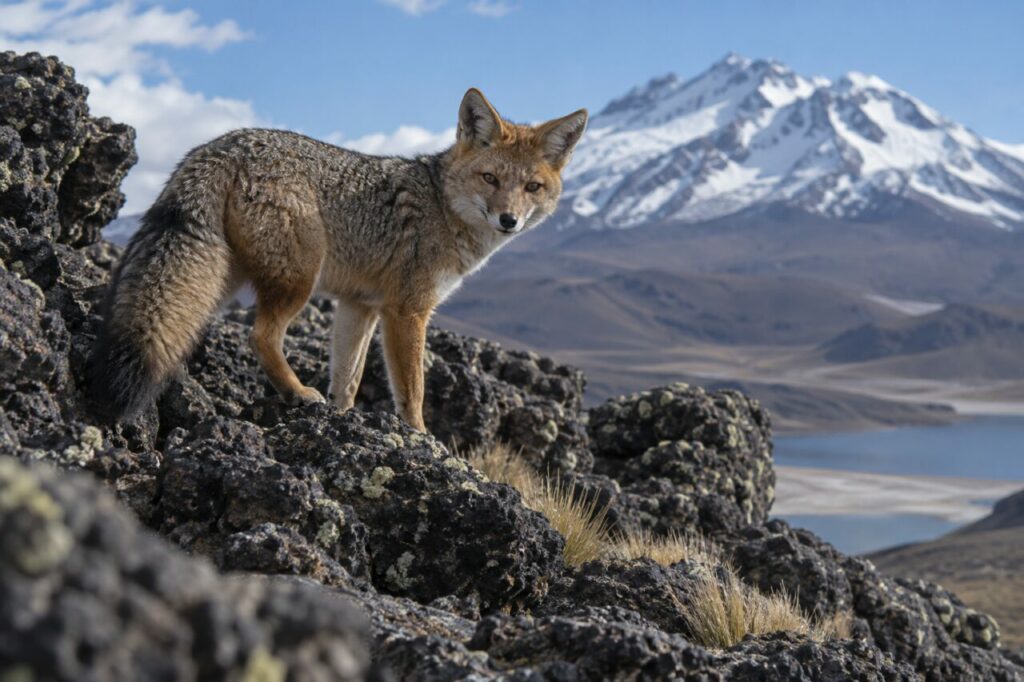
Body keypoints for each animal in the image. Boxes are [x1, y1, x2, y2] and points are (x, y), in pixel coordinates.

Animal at [89, 89, 588, 431]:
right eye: (490, 178)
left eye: (532, 188)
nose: (509, 220)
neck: (443, 207)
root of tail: (224, 143)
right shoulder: (407, 311)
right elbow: (412, 391)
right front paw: (422, 439)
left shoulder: (359, 305)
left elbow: (348, 378)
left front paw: (342, 420)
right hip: (298, 281)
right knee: (260, 336)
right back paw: (296, 392)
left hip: (225, 278)